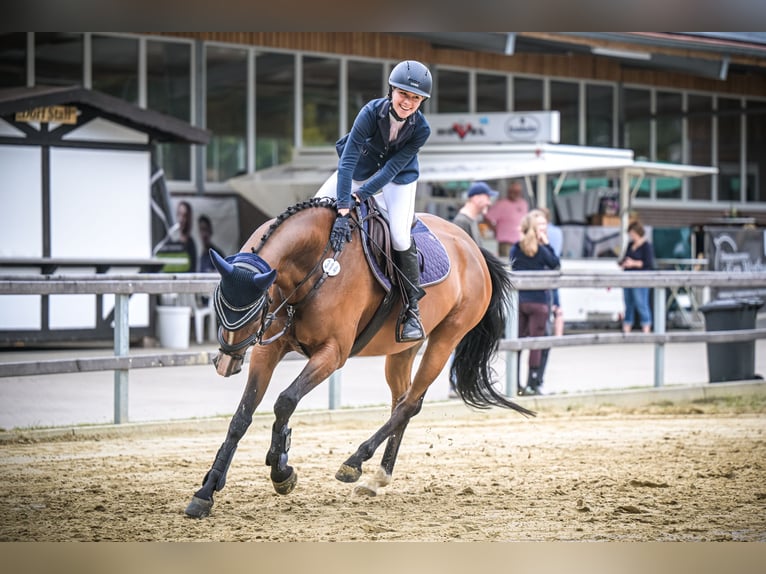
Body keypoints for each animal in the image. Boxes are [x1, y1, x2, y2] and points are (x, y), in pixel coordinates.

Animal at [184, 197, 534, 518]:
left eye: (256, 309)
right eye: (217, 301)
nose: (226, 363)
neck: (315, 262)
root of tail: (474, 249)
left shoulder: (332, 353)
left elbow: (285, 401)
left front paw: (281, 469)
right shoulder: (267, 349)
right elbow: (241, 418)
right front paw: (207, 491)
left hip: (445, 340)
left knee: (408, 404)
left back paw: (354, 463)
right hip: (402, 349)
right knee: (402, 403)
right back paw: (378, 478)